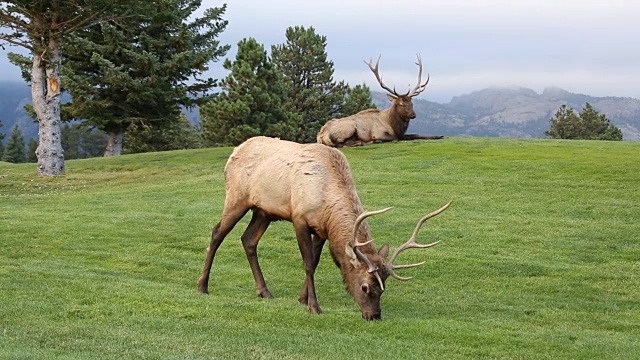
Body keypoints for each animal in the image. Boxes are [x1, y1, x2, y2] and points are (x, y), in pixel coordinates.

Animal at [198, 136, 452, 320]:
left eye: (383, 288)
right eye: (365, 287)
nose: (374, 316)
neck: (328, 199)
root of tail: (233, 153)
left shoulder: (321, 229)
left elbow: (316, 260)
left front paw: (302, 298)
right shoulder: (300, 218)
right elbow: (308, 264)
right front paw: (314, 306)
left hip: (263, 211)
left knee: (248, 240)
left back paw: (264, 291)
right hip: (236, 198)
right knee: (217, 233)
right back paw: (202, 286)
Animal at [316, 54, 444, 147]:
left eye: (412, 103)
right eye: (401, 104)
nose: (413, 114)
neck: (394, 125)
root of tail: (320, 135)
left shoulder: (402, 134)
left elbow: (415, 134)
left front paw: (438, 136)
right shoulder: (379, 133)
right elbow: (395, 138)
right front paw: (376, 140)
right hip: (348, 128)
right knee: (340, 144)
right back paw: (367, 142)